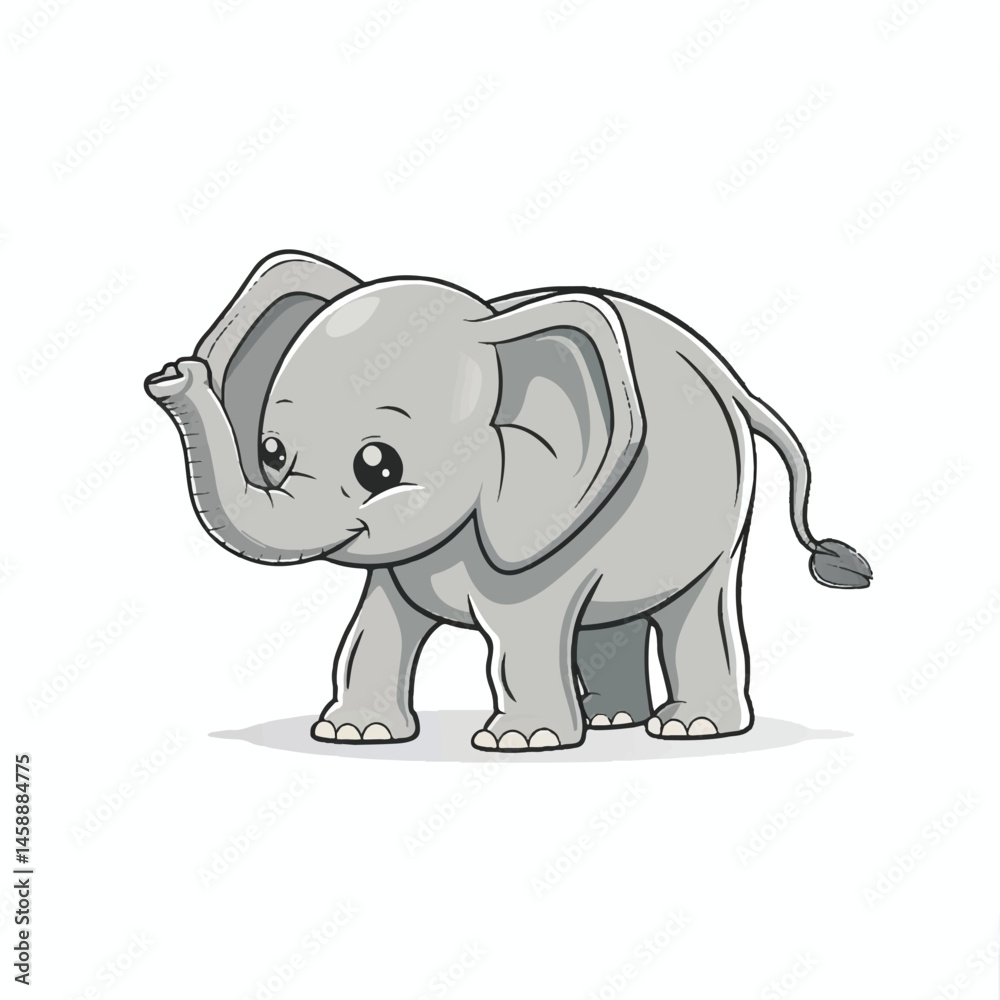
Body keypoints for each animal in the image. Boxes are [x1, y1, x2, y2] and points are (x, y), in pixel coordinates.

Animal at [145, 250, 871, 753]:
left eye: (378, 465)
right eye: (271, 452)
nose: (170, 373)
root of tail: (738, 385)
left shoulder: (538, 530)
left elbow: (522, 631)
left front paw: (519, 743)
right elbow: (375, 628)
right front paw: (354, 736)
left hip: (718, 515)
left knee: (694, 608)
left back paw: (689, 729)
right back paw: (612, 720)